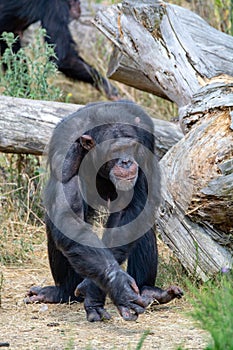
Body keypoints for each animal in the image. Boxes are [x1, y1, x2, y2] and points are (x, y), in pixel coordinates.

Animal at [26, 101, 184, 322]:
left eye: (130, 147)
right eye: (116, 150)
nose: (126, 162)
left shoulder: (144, 143)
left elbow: (130, 210)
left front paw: (95, 291)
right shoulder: (65, 153)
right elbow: (69, 217)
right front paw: (117, 284)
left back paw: (149, 291)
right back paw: (62, 292)